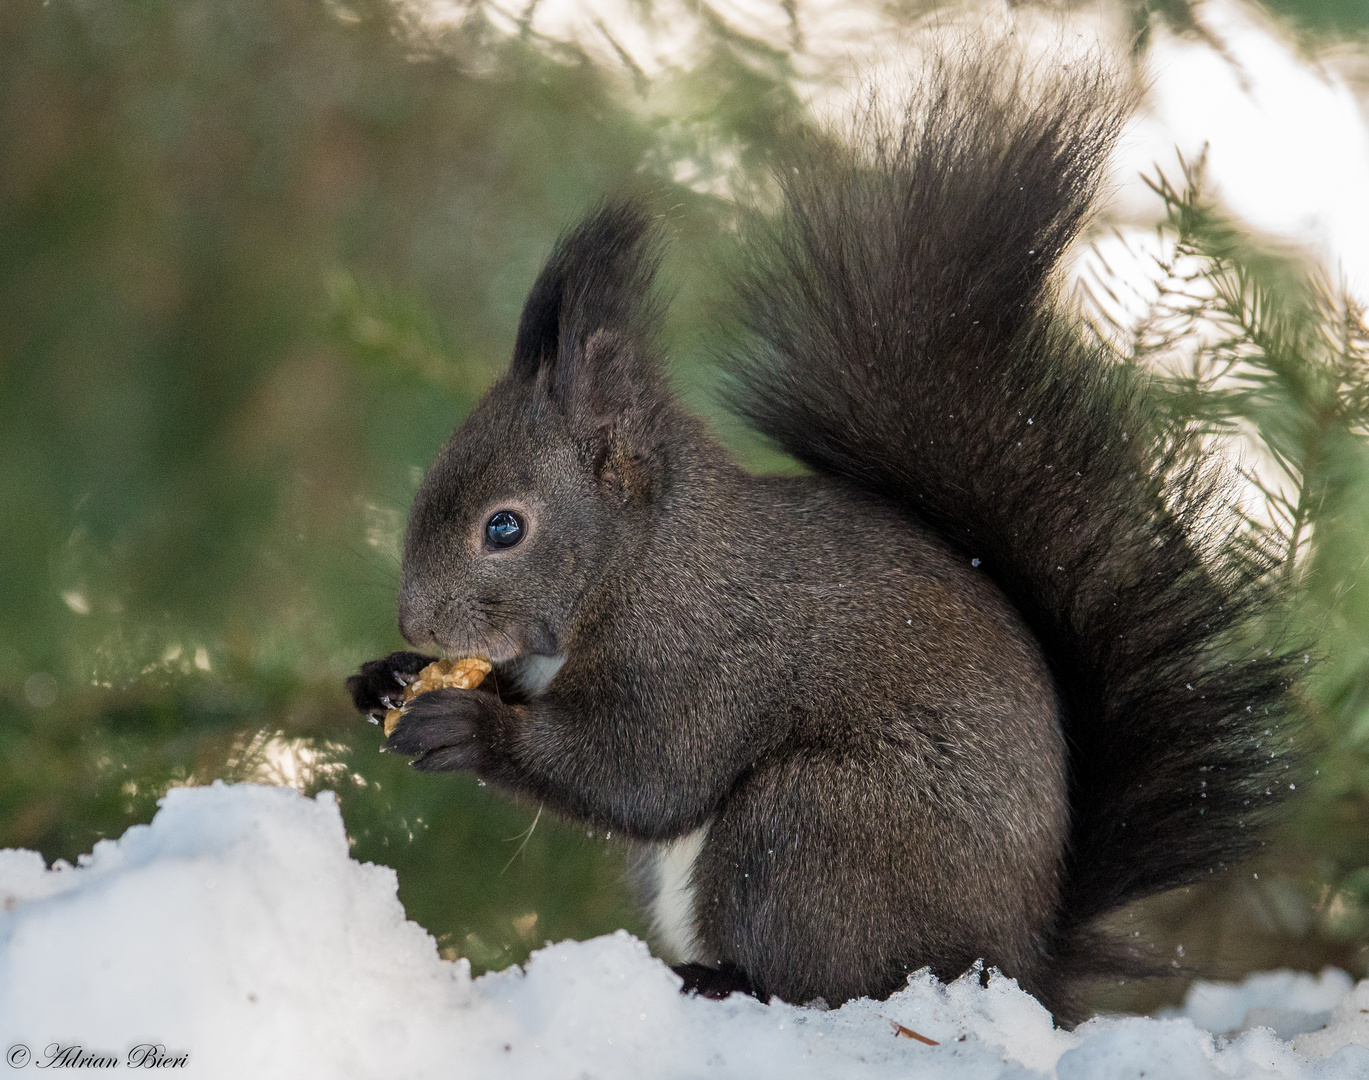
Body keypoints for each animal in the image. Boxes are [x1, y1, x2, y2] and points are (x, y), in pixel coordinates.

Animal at [347, 44, 1297, 1018]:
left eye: (504, 527)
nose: (416, 624)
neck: (640, 559)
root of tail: (1012, 964)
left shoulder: (699, 655)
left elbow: (643, 772)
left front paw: (467, 727)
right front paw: (386, 678)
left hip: (815, 824)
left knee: (818, 981)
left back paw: (717, 978)